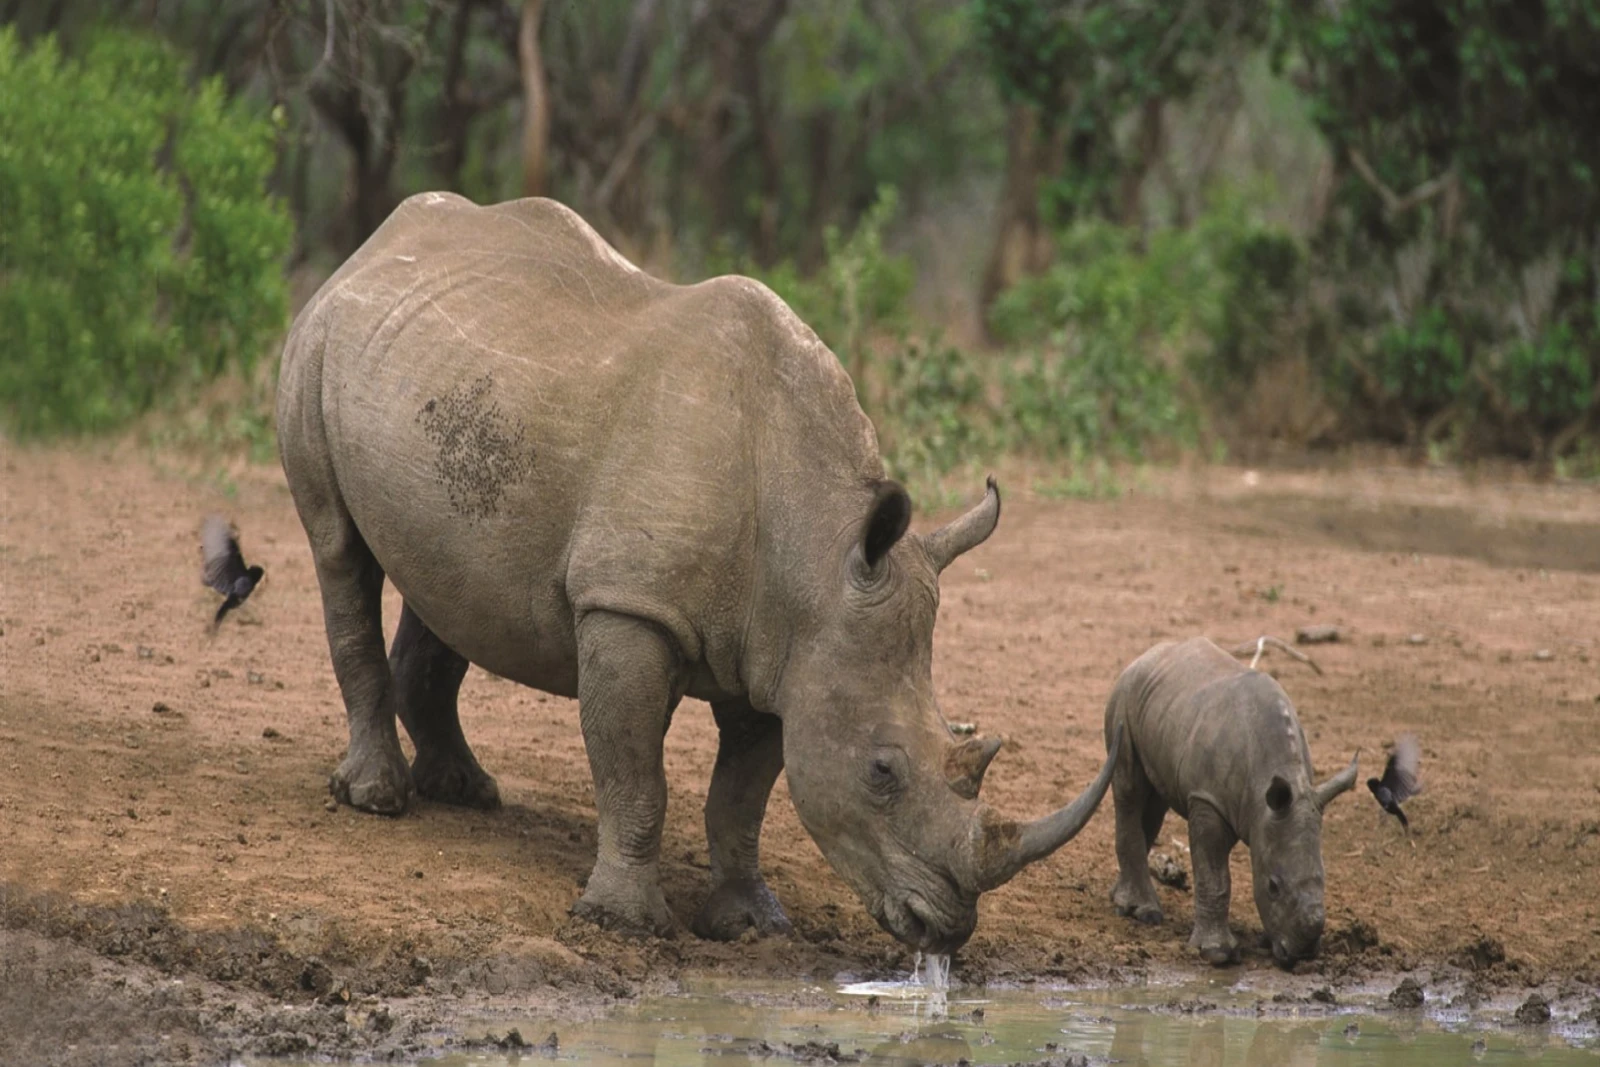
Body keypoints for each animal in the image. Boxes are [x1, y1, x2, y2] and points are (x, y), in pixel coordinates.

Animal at [275, 192, 1117, 951]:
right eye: (882, 770)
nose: (946, 926)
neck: (816, 546)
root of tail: (374, 245)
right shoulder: (629, 605)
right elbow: (636, 777)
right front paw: (623, 922)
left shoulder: (787, 656)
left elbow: (741, 798)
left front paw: (749, 924)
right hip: (316, 345)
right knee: (339, 549)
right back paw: (377, 799)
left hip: (440, 383)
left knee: (446, 581)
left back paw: (466, 793)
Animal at [1102, 637, 1359, 966]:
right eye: (1273, 887)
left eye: (1324, 878)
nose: (1300, 954)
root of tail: (1143, 657)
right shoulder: (1207, 799)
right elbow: (1215, 877)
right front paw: (1217, 953)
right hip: (1125, 698)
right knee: (1129, 791)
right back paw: (1143, 913)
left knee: (1153, 804)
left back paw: (1121, 898)